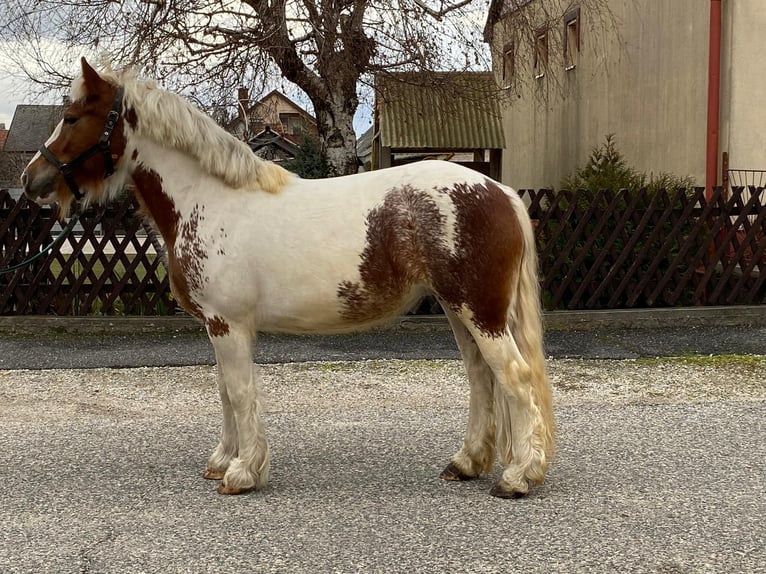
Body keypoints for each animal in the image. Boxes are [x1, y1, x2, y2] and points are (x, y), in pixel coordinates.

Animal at [21, 57, 556, 500]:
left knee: (515, 377)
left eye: (73, 117)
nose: (31, 181)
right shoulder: (218, 327)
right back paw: (466, 463)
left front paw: (242, 473)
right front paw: (223, 462)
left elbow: (239, 392)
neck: (209, 199)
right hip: (458, 309)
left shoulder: (228, 324)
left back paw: (518, 477)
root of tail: (500, 191)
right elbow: (224, 390)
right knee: (482, 379)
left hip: (479, 312)